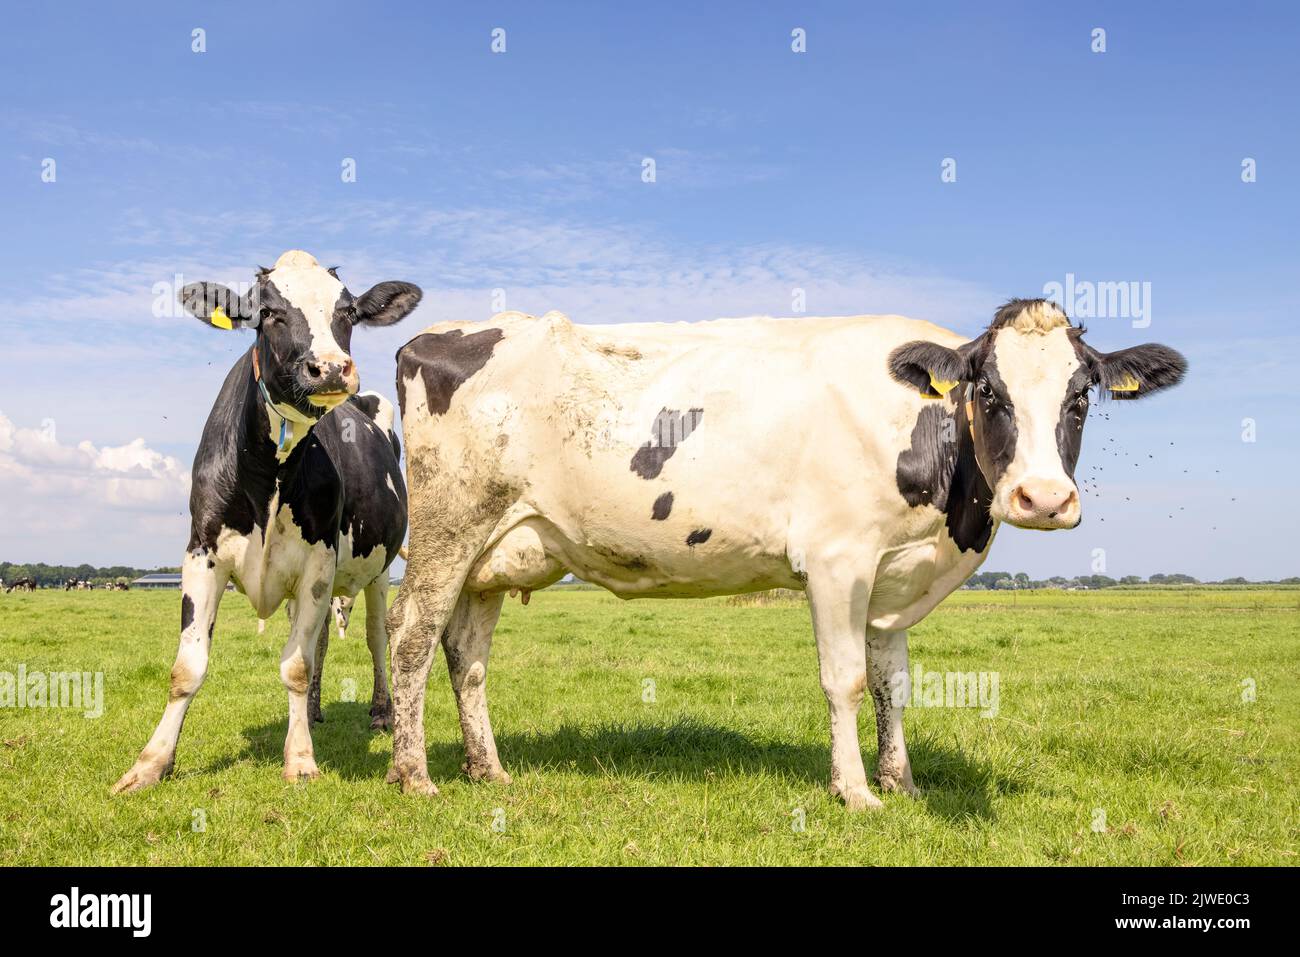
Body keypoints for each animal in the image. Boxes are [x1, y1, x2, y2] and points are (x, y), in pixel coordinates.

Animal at [112, 248, 418, 790]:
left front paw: (300, 759)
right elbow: (187, 668)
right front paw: (150, 763)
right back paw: (313, 711)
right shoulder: (202, 553)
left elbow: (295, 665)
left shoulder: (318, 560)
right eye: (268, 312)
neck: (268, 471)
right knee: (321, 639)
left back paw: (381, 711)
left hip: (379, 570)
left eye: (348, 313)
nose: (330, 368)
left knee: (376, 636)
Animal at [379, 295, 1185, 806]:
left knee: (466, 651)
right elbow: (846, 680)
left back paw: (488, 771)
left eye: (1080, 397)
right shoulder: (837, 560)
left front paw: (902, 781)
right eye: (988, 390)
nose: (1043, 499)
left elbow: (894, 683)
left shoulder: (892, 580)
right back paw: (414, 774)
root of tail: (437, 334)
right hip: (448, 528)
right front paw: (855, 791)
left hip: (495, 549)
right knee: (412, 633)